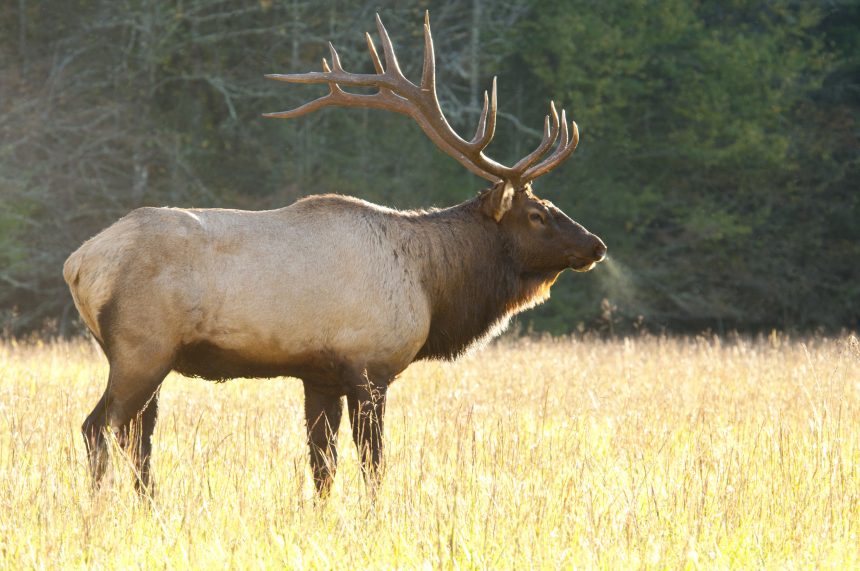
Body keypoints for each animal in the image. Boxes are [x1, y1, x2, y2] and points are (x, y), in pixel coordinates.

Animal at [63, 12, 608, 496]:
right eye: (537, 214)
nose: (596, 245)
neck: (431, 286)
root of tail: (78, 264)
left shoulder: (319, 375)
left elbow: (322, 467)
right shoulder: (369, 368)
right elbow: (373, 465)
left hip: (143, 357)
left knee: (134, 436)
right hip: (141, 348)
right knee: (100, 428)